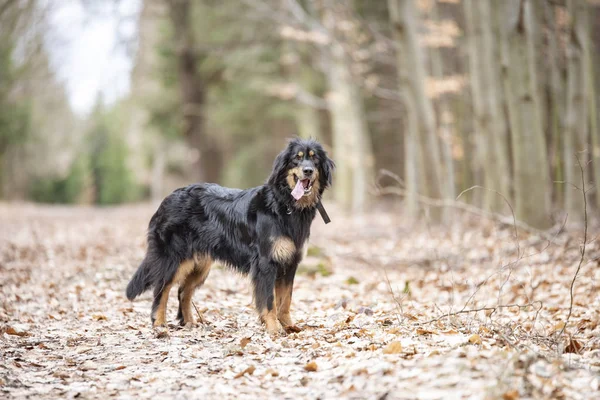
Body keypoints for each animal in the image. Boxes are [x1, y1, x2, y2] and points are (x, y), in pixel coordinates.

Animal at [126, 138, 336, 334]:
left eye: (314, 159)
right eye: (296, 158)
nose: (307, 171)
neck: (284, 204)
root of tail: (167, 199)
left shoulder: (289, 262)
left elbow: (286, 300)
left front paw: (289, 326)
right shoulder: (266, 263)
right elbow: (270, 301)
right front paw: (273, 328)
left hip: (200, 264)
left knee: (183, 291)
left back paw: (190, 323)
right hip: (174, 258)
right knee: (162, 289)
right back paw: (159, 323)